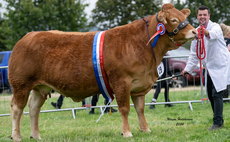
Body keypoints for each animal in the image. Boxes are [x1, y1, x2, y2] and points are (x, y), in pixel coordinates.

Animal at [8, 3, 196, 141]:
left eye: (183, 17)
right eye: (173, 19)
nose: (194, 31)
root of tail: (28, 36)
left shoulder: (139, 85)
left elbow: (140, 109)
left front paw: (145, 129)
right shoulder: (121, 82)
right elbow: (124, 108)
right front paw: (127, 132)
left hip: (40, 87)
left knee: (33, 108)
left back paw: (36, 135)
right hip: (21, 84)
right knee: (17, 109)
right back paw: (16, 136)